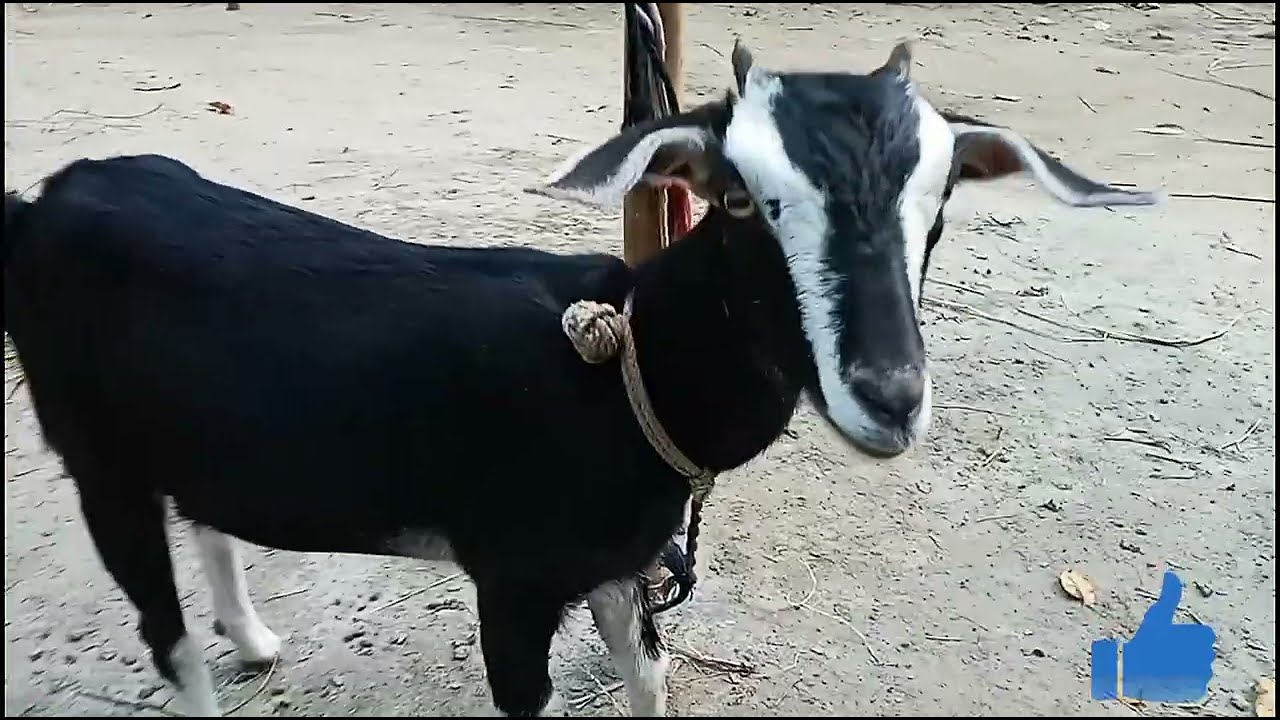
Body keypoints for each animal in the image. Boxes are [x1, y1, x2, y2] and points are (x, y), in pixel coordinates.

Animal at [2, 41, 1156, 717]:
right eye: (741, 200)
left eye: (940, 204)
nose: (890, 394)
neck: (623, 376)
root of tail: (42, 202)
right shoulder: (512, 583)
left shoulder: (618, 567)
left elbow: (649, 675)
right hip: (93, 457)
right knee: (165, 640)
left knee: (204, 518)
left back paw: (254, 641)